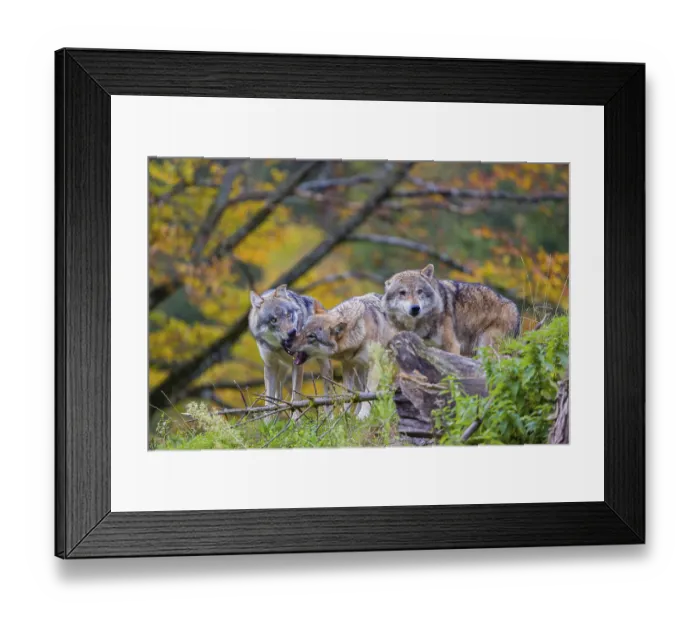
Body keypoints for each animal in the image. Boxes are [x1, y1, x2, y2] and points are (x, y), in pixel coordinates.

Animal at [382, 264, 520, 357]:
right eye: (402, 293)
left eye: (419, 291)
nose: (415, 308)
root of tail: (515, 308)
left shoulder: (453, 345)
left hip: (486, 347)